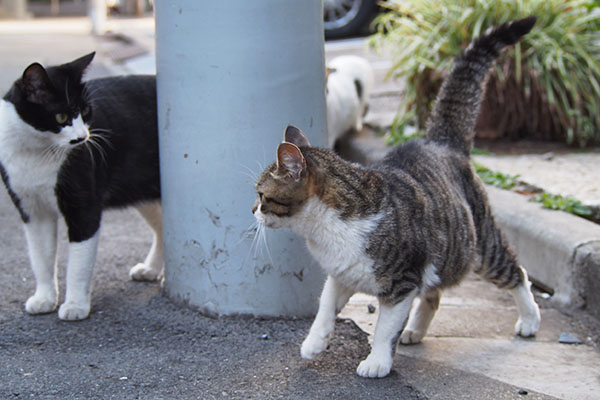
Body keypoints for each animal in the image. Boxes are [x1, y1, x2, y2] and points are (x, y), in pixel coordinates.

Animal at [0, 54, 163, 322]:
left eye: (86, 111)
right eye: (61, 117)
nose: (83, 137)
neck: (37, 154)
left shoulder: (83, 209)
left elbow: (78, 264)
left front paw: (75, 305)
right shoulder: (32, 211)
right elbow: (41, 258)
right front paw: (44, 298)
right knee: (162, 227)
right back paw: (151, 268)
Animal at [251, 16, 540, 378]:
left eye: (261, 194)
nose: (252, 210)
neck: (323, 231)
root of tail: (439, 141)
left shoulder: (402, 283)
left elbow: (385, 329)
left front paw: (376, 362)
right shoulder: (341, 274)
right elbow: (324, 308)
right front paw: (314, 343)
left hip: (478, 249)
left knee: (517, 271)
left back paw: (529, 320)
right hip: (446, 253)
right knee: (434, 293)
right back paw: (415, 330)